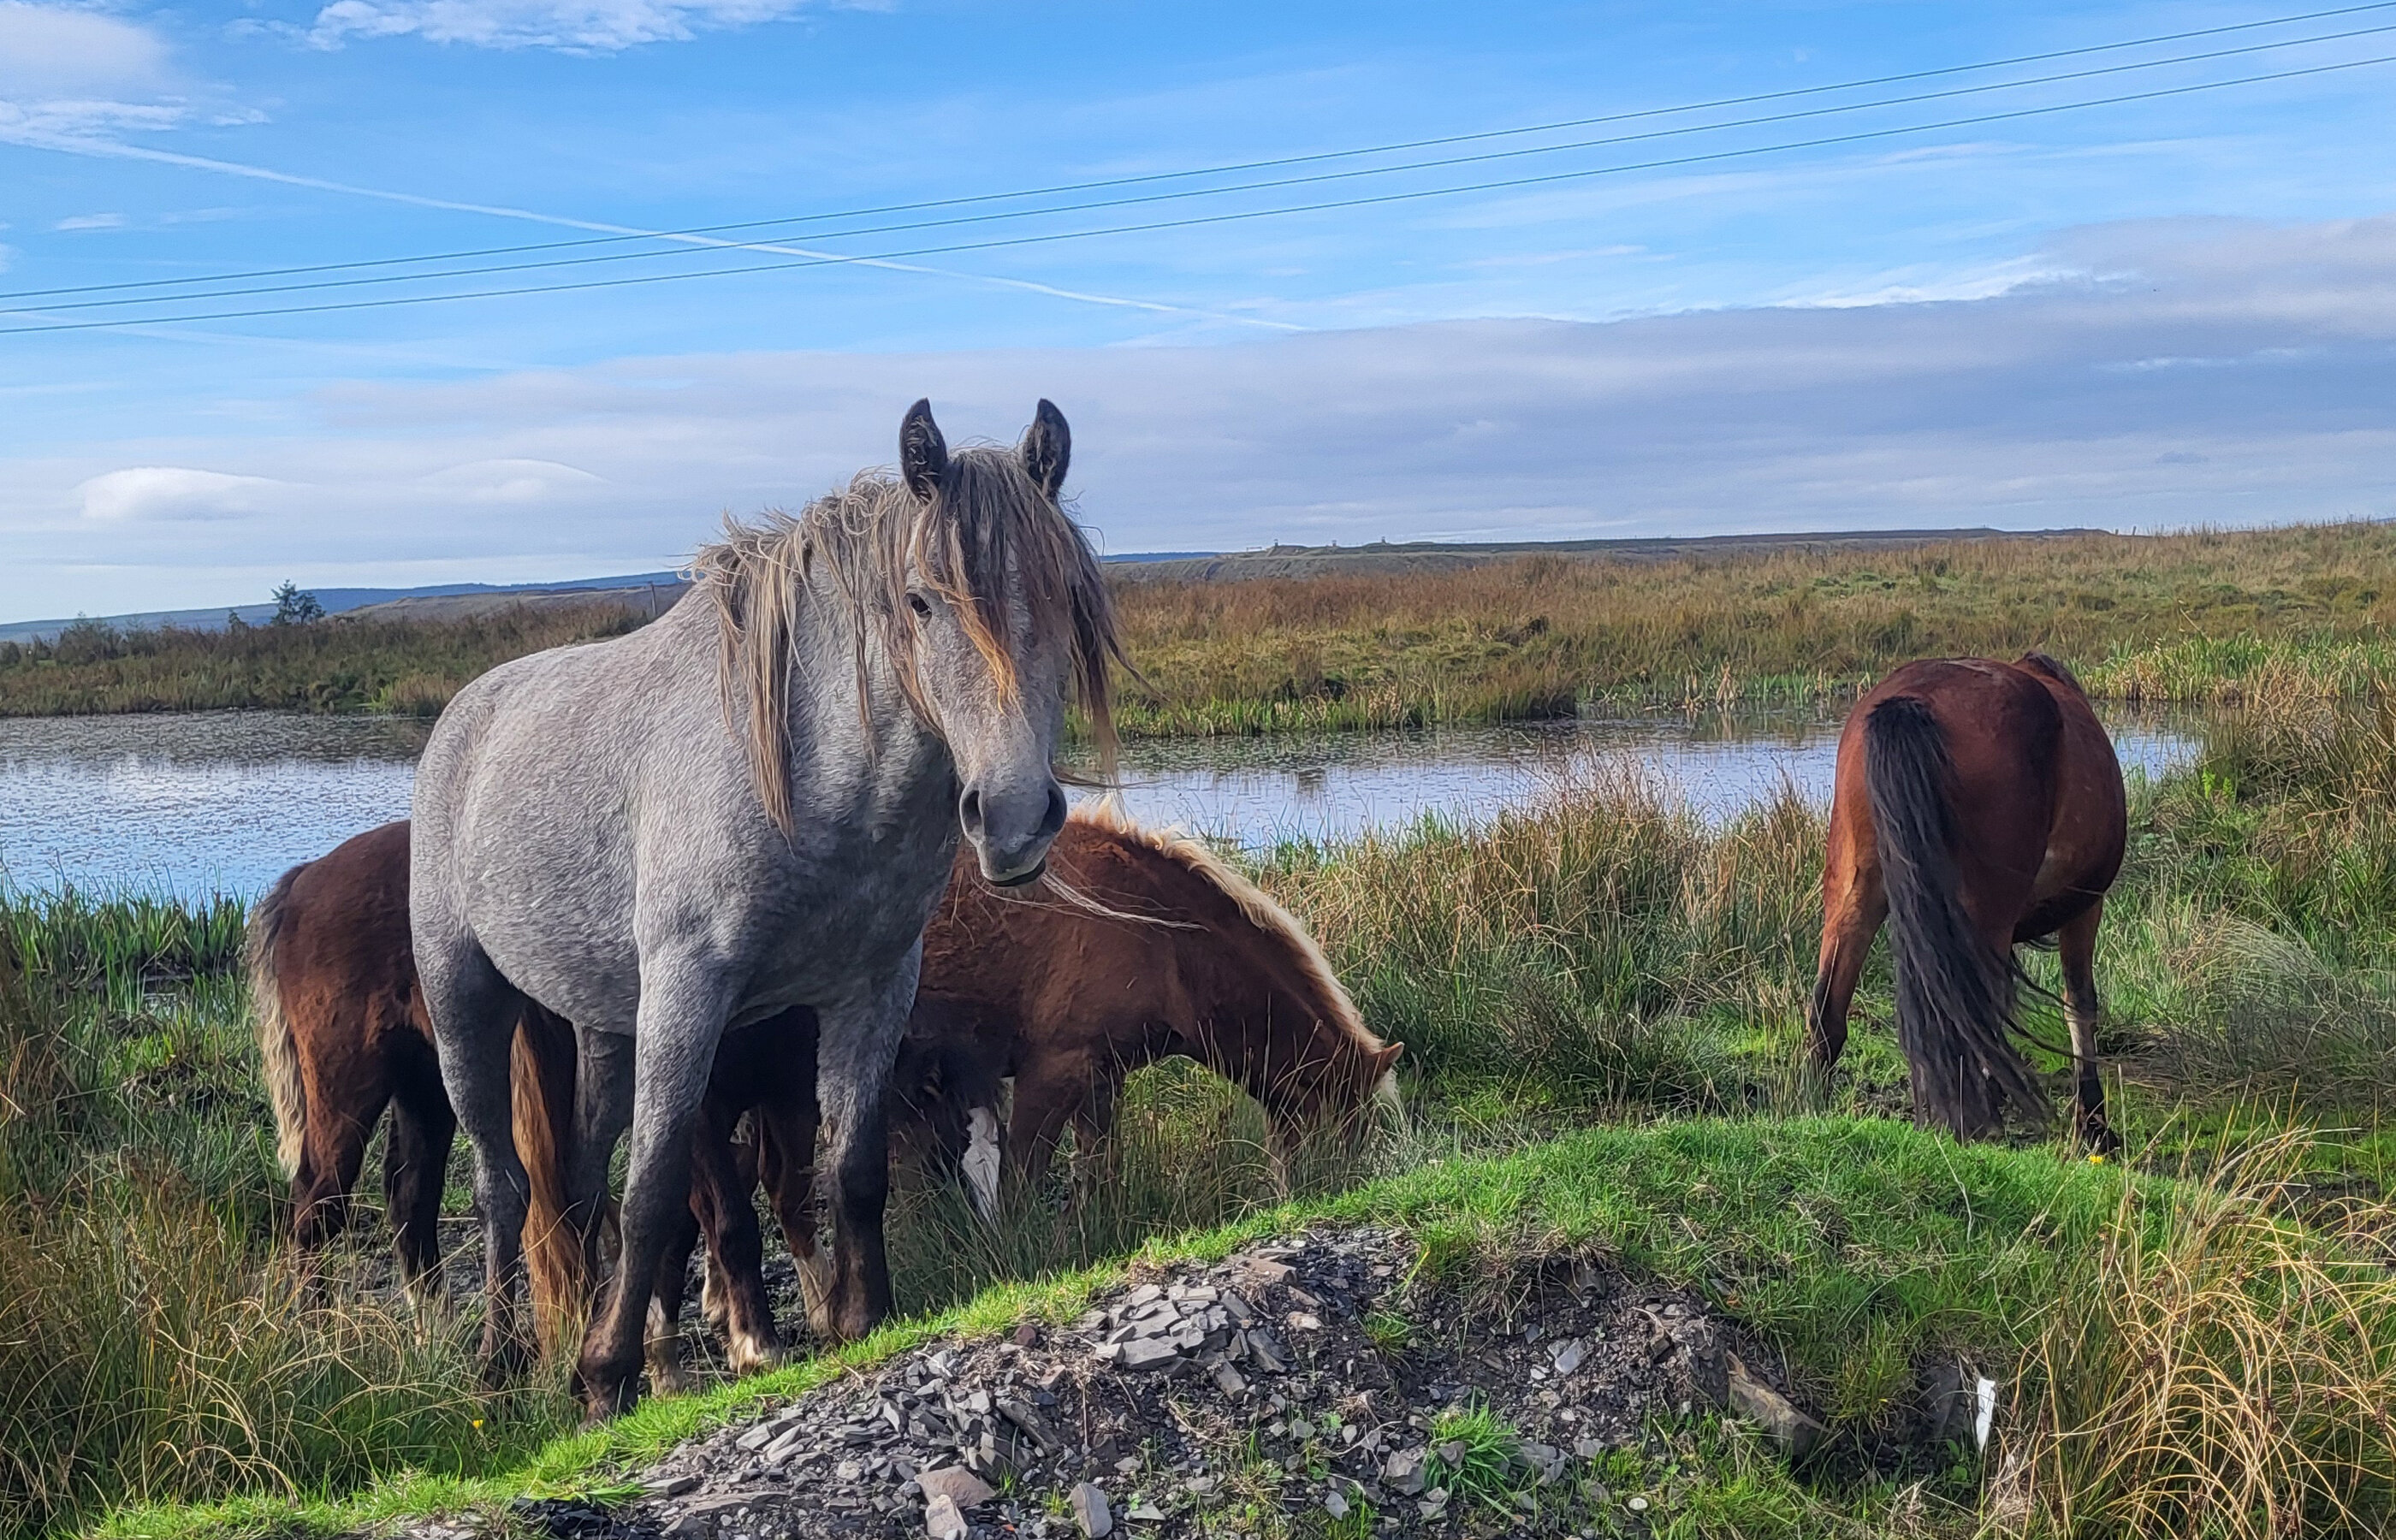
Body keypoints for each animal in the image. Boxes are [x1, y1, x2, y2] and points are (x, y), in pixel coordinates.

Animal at [408, 399, 1121, 1415]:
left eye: (1065, 593)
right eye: (920, 600)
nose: (1016, 817)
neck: (803, 776)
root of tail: (463, 718)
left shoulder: (873, 987)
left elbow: (851, 1165)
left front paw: (861, 1319)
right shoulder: (688, 996)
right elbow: (658, 1191)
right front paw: (608, 1373)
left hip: (602, 1027)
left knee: (574, 1182)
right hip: (464, 1000)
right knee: (501, 1185)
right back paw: (501, 1361)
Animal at [1804, 653, 2126, 1146]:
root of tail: (1910, 702)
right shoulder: (2086, 907)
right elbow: (2080, 1003)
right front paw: (2092, 1122)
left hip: (1853, 895)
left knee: (1828, 1010)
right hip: (1987, 915)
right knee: (1974, 1019)